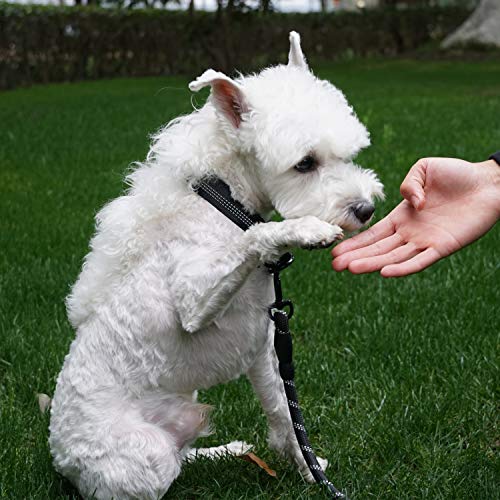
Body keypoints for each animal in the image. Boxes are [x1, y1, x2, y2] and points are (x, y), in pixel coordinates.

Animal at [48, 32, 382, 500]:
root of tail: (59, 457)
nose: (365, 209)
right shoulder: (193, 302)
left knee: (185, 452)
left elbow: (286, 416)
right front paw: (303, 229)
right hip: (144, 456)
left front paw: (307, 467)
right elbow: (256, 237)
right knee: (165, 468)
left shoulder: (265, 347)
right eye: (304, 164)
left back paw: (227, 451)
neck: (224, 202)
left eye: (349, 153)